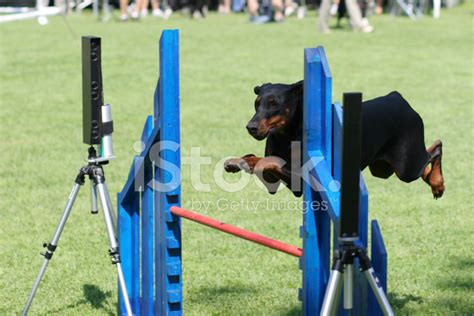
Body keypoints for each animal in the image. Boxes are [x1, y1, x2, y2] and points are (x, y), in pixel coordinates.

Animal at [222, 81, 444, 199]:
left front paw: (241, 162)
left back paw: (438, 184)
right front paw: (236, 162)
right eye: (256, 104)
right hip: (383, 168)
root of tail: (399, 98)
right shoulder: (275, 181)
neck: (288, 134)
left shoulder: (301, 180)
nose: (250, 127)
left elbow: (267, 161)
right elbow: (262, 161)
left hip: (406, 165)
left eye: (274, 103)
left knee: (436, 148)